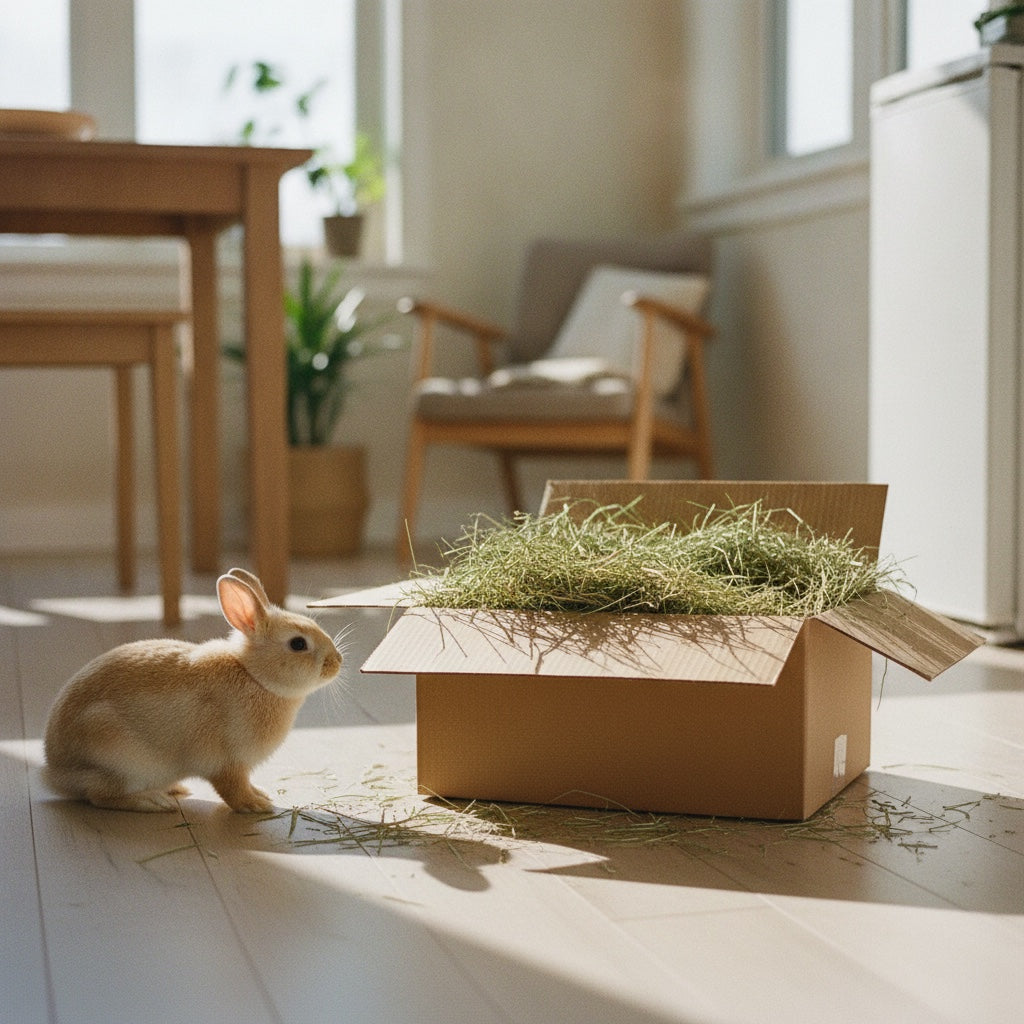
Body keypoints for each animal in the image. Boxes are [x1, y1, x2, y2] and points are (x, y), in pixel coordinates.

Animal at [42, 567, 342, 813]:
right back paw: (153, 801)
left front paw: (261, 794)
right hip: (117, 755)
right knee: (100, 796)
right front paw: (256, 805)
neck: (253, 675)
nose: (337, 661)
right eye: (298, 644)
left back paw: (174, 789)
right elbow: (232, 789)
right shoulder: (227, 762)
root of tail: (55, 774)